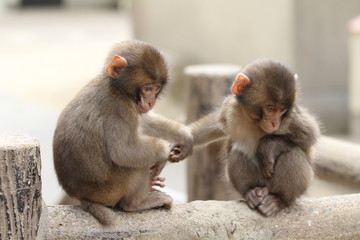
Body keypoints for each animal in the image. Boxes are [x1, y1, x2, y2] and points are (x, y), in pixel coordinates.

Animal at [187, 58, 320, 218]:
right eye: (271, 108)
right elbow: (216, 125)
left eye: (282, 110)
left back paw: (278, 200)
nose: (275, 123)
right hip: (259, 181)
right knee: (236, 152)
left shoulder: (291, 118)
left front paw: (267, 146)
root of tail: (264, 189)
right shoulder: (230, 108)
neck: (254, 122)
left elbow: (309, 135)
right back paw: (251, 192)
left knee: (292, 154)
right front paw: (186, 138)